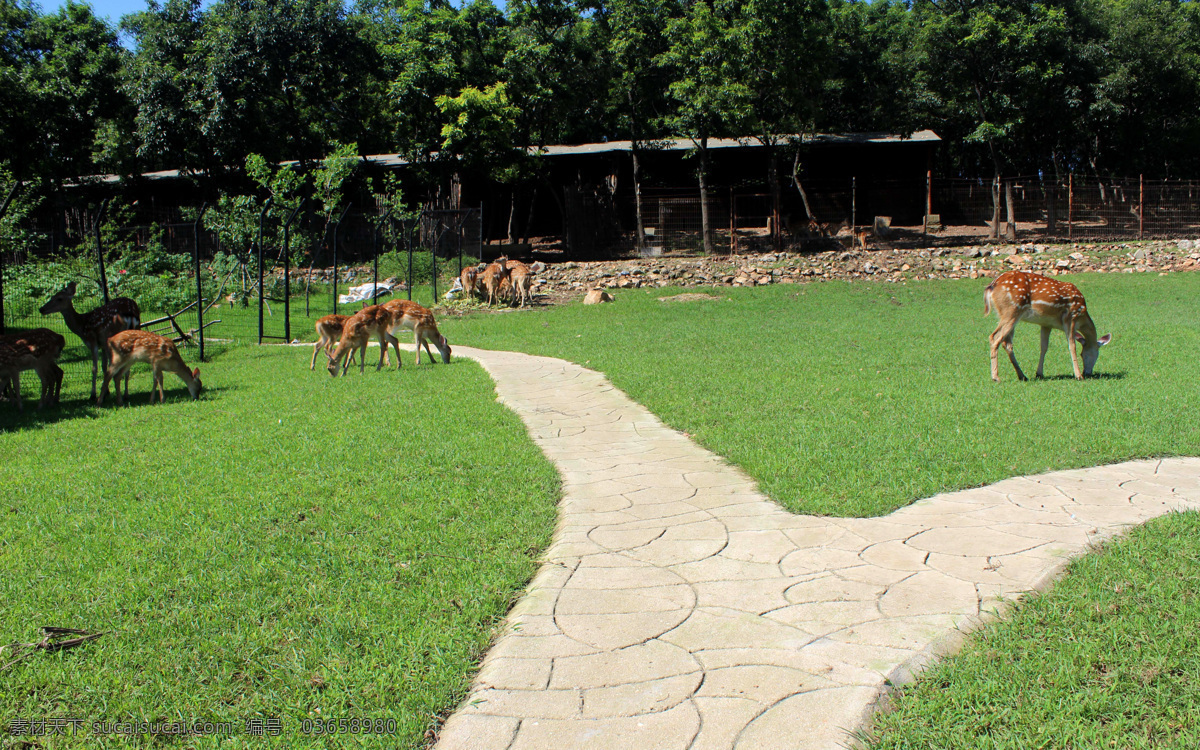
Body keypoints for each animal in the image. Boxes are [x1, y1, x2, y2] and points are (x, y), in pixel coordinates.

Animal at [979, 270, 1108, 379]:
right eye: (1085, 354)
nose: (1087, 373)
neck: (1082, 316)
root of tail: (991, 286)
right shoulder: (1071, 317)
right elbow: (1072, 345)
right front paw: (1078, 376)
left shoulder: (1046, 324)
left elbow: (1044, 347)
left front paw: (1039, 373)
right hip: (1011, 311)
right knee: (994, 337)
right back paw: (996, 377)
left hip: (1004, 314)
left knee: (1007, 343)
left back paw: (1022, 376)